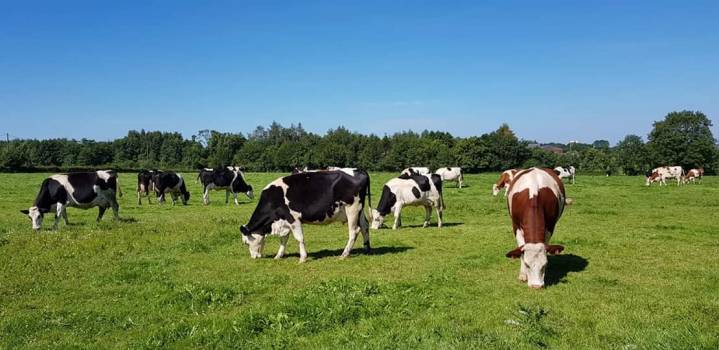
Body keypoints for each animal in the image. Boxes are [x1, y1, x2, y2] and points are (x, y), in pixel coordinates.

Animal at [240, 168, 374, 262]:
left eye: (246, 243)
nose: (253, 257)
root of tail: (358, 170)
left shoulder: (293, 218)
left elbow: (299, 238)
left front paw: (303, 258)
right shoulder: (285, 221)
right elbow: (283, 239)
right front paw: (278, 255)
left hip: (352, 208)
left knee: (354, 231)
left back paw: (344, 254)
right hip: (359, 210)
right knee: (364, 226)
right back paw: (366, 249)